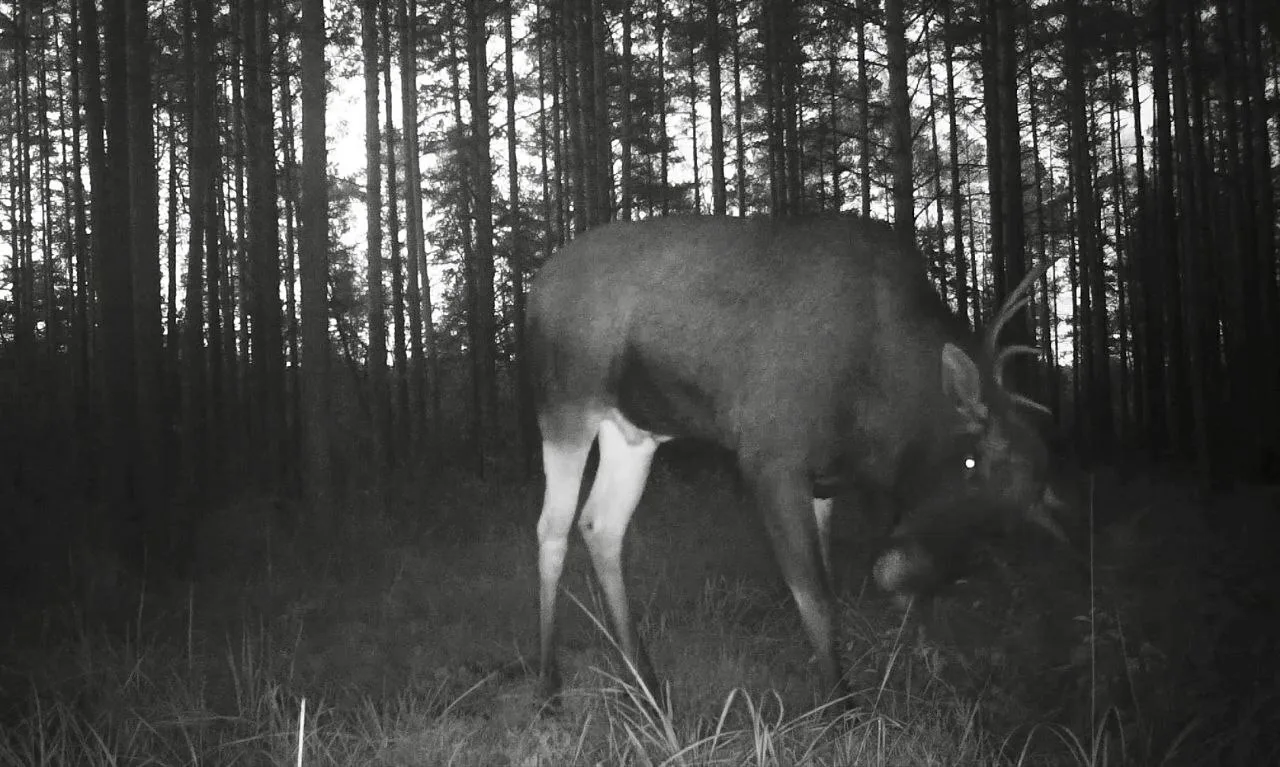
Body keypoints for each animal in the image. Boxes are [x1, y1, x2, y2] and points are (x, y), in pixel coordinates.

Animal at [528, 214, 1062, 707]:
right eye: (971, 463)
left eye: (1010, 519)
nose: (900, 570)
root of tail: (536, 291)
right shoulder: (771, 457)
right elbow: (814, 597)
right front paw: (842, 707)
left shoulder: (824, 481)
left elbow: (829, 590)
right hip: (567, 404)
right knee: (552, 527)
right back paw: (551, 686)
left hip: (634, 431)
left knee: (601, 524)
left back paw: (646, 684)